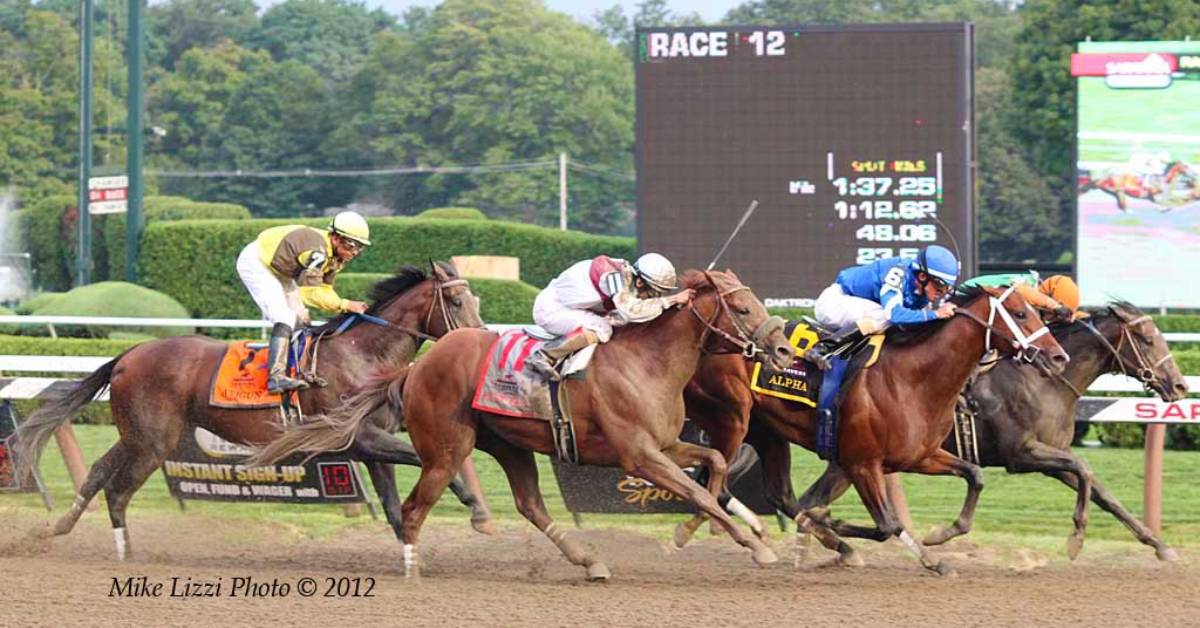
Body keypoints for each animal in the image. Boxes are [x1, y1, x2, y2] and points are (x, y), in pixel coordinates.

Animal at [14, 260, 492, 559]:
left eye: (476, 302)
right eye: (455, 302)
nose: (478, 340)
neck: (363, 354)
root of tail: (130, 354)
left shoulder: (373, 444)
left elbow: (396, 506)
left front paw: (414, 556)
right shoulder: (356, 438)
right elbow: (431, 462)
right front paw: (480, 514)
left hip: (136, 435)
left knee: (97, 472)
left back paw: (55, 529)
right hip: (153, 441)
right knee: (117, 490)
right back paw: (125, 554)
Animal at [252, 270, 796, 581]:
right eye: (742, 306)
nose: (785, 350)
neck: (647, 362)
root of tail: (416, 367)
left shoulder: (663, 445)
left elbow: (716, 464)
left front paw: (707, 529)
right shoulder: (639, 455)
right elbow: (700, 489)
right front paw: (757, 548)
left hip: (509, 444)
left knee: (531, 505)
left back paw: (589, 562)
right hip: (447, 449)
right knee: (411, 508)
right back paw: (412, 569)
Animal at [681, 284, 1065, 573]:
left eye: (1035, 311)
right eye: (1020, 314)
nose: (1058, 356)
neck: (913, 378)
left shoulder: (920, 456)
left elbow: (975, 475)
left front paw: (941, 537)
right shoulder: (861, 464)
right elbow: (887, 525)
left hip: (767, 431)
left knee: (780, 495)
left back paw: (831, 543)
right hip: (732, 418)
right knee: (713, 482)